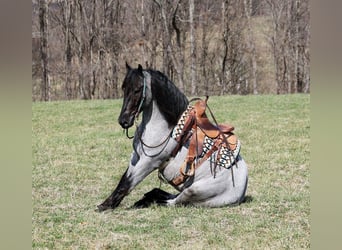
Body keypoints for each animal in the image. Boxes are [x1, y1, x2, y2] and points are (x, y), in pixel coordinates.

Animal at [97, 63, 248, 211]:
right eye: (124, 88)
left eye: (138, 89)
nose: (124, 120)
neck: (165, 128)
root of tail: (242, 189)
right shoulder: (136, 157)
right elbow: (125, 179)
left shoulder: (148, 162)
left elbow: (126, 183)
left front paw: (105, 205)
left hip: (192, 191)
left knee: (172, 202)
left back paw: (148, 200)